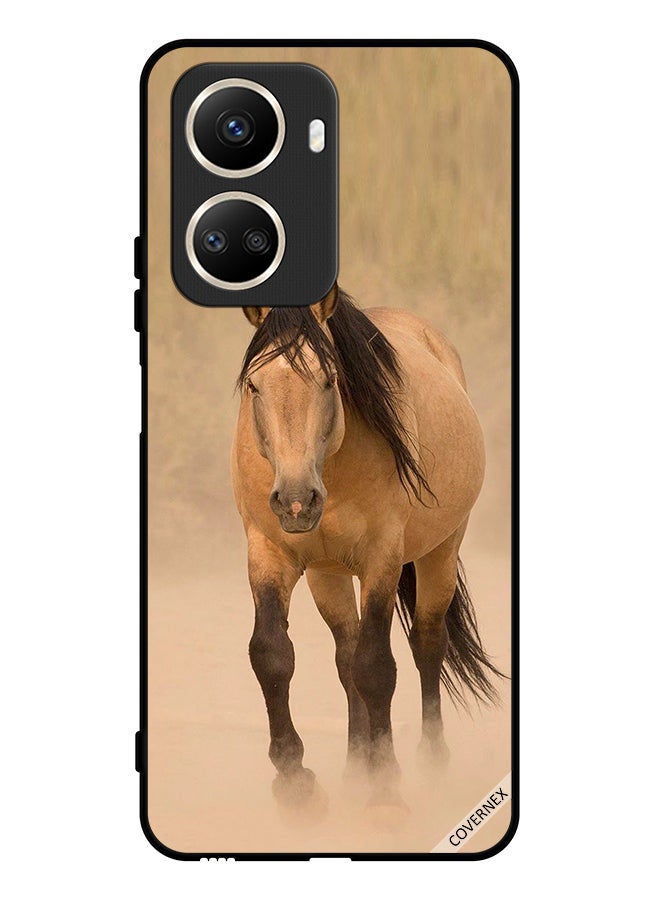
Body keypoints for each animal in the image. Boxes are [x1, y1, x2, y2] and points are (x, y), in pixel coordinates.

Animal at [231, 284, 501, 817]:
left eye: (330, 378)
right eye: (254, 385)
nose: (297, 500)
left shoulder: (382, 560)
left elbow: (377, 666)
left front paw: (386, 787)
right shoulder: (269, 554)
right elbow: (272, 654)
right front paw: (296, 781)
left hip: (440, 551)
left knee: (426, 644)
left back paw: (430, 762)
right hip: (327, 573)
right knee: (345, 655)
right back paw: (356, 767)